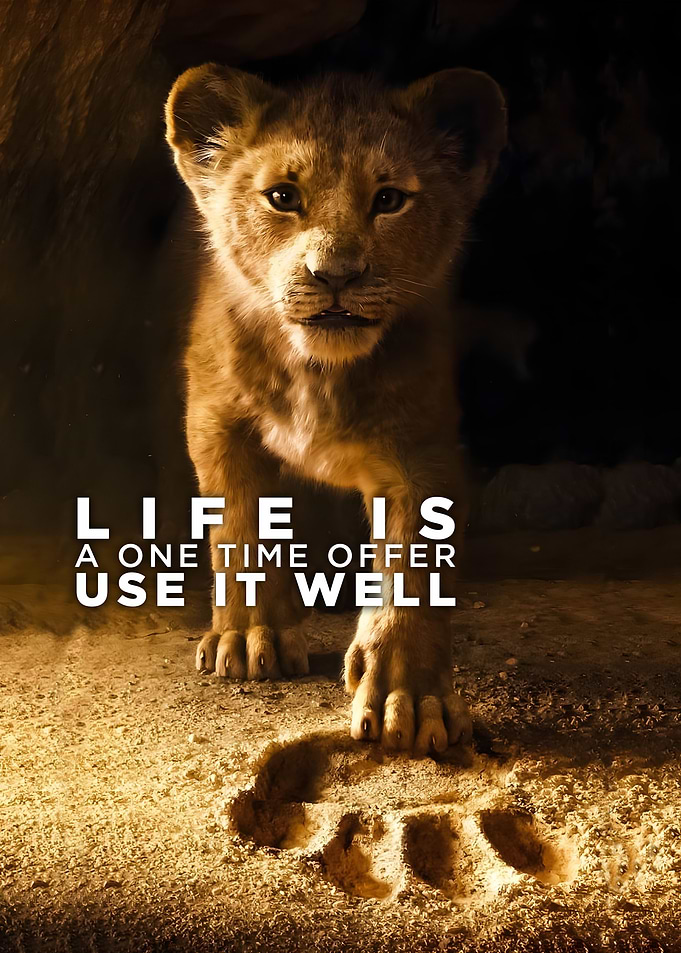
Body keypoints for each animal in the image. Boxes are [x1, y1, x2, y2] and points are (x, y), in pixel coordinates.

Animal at [164, 65, 506, 754]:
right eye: (282, 197)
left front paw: (410, 695)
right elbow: (238, 525)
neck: (318, 372)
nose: (336, 275)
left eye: (390, 199)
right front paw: (249, 637)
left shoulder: (421, 447)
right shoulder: (216, 420)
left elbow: (413, 566)